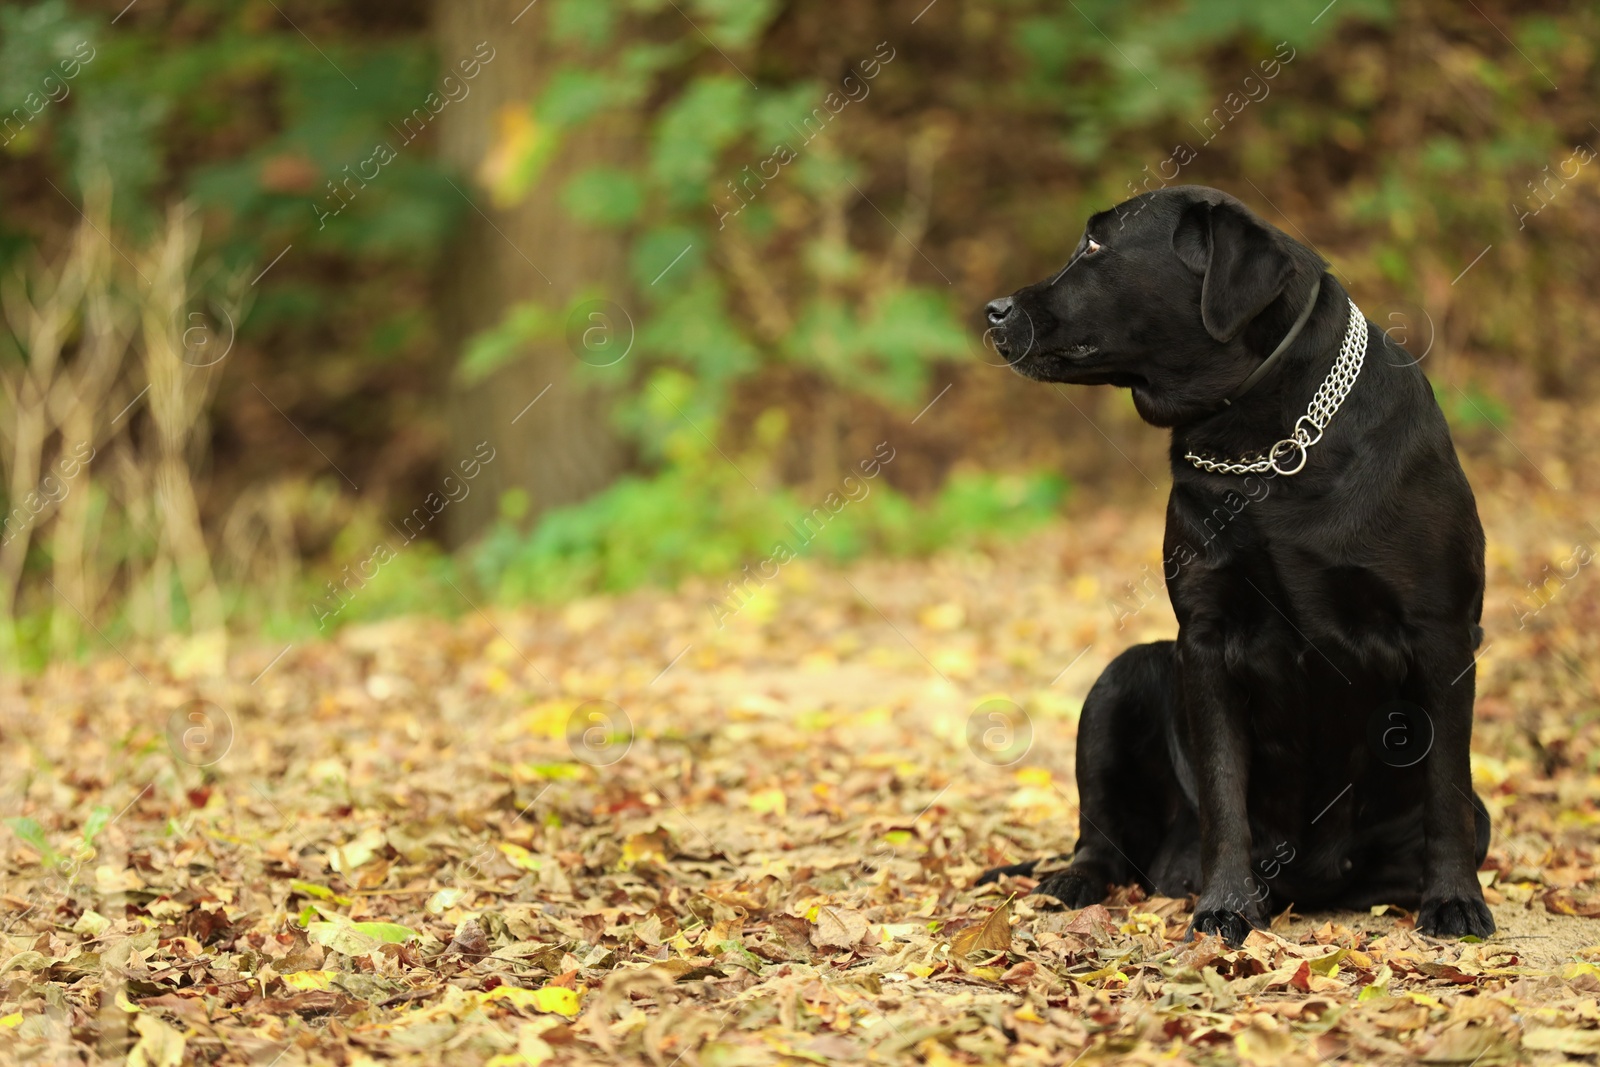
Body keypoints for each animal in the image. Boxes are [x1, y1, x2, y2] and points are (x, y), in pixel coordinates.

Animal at [979, 183, 1491, 940]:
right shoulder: (1206, 638)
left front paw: (1454, 899)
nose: (994, 310)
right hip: (1121, 677)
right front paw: (1224, 904)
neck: (1265, 441)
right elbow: (1224, 789)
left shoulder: (1440, 633)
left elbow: (1446, 787)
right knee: (1101, 837)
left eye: (1097, 244)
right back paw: (1075, 882)